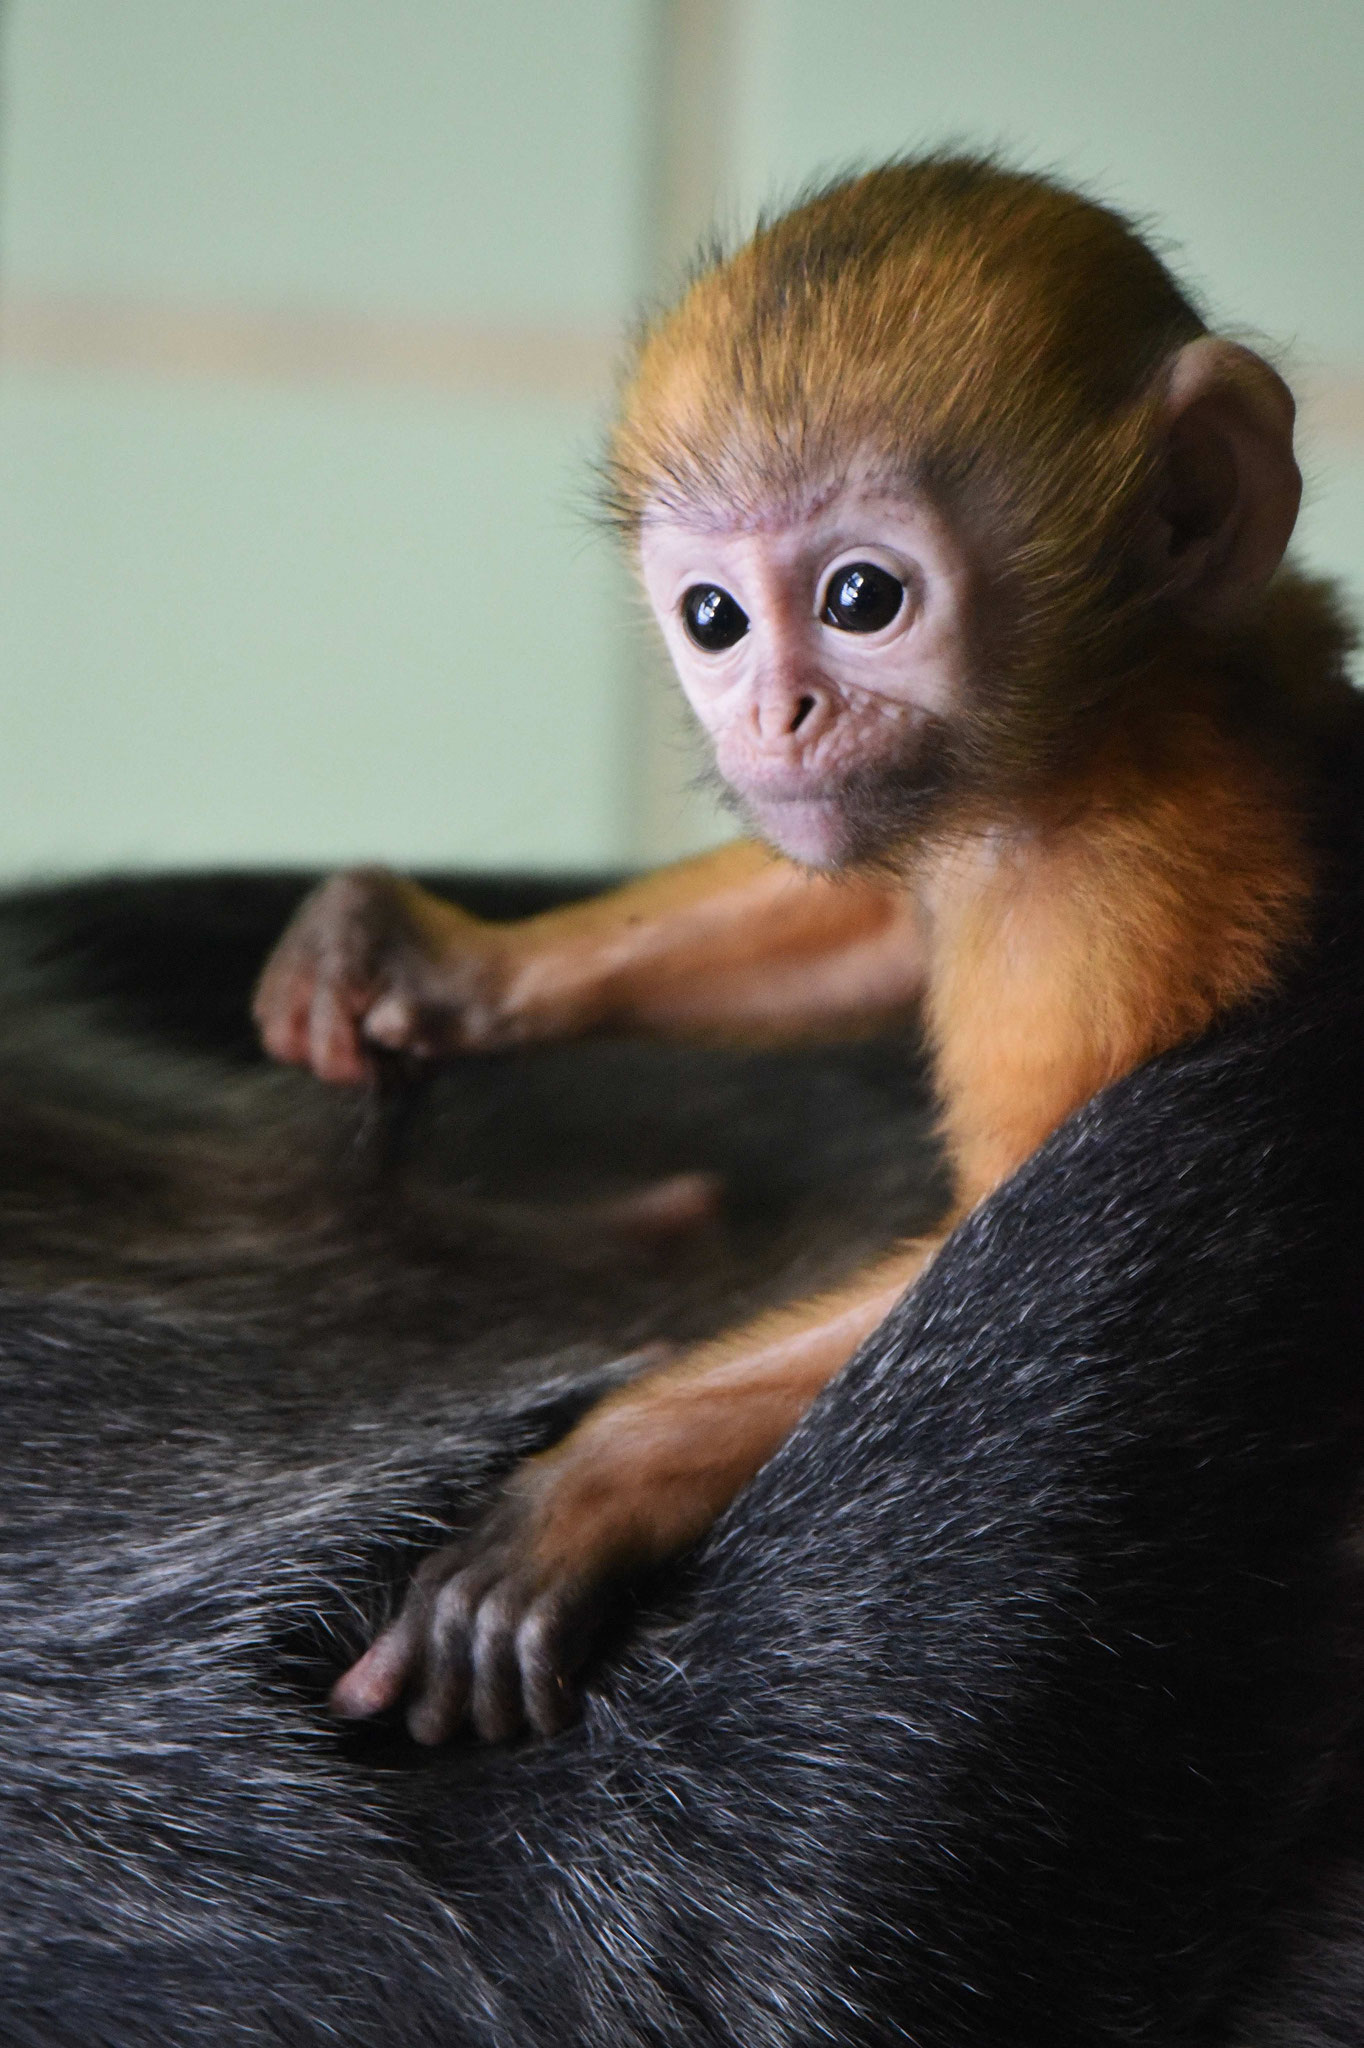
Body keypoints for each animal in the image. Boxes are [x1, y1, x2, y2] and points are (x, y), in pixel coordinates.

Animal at [254, 159, 1359, 1744]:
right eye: (712, 618)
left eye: (860, 599)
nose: (773, 715)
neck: (1121, 731)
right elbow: (868, 918)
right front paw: (431, 965)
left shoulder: (1129, 912)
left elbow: (1030, 1284)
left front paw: (595, 1481)